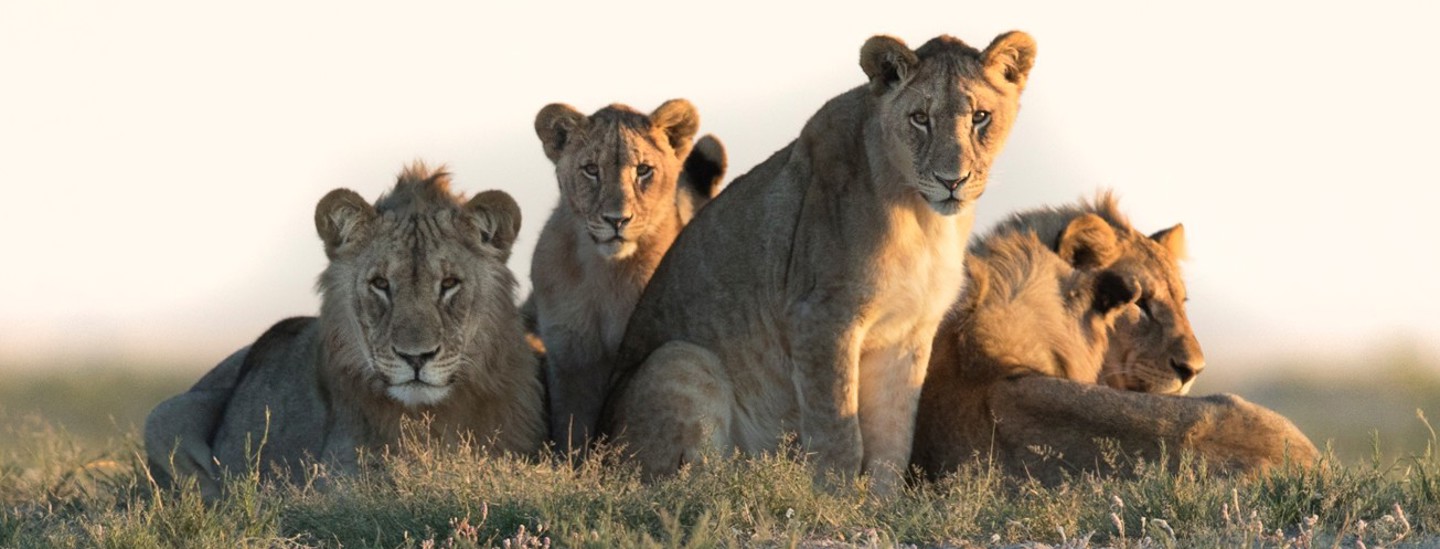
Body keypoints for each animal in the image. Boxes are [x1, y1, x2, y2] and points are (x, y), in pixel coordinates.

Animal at [144, 164, 545, 499]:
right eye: (380, 284)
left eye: (449, 284)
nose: (416, 358)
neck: (430, 418)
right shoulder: (336, 483)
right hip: (163, 416)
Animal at [528, 101, 726, 446]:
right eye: (591, 169)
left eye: (643, 170)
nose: (616, 220)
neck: (605, 275)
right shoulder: (569, 359)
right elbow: (571, 428)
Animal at [598, 32, 1038, 490]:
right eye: (920, 118)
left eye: (981, 117)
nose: (952, 180)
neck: (924, 221)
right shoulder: (821, 317)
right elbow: (838, 433)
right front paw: (833, 498)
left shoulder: (908, 334)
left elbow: (892, 442)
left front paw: (881, 502)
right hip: (681, 359)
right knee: (683, 484)